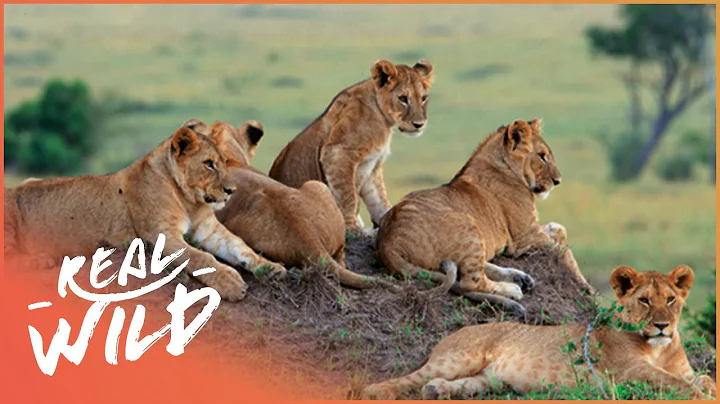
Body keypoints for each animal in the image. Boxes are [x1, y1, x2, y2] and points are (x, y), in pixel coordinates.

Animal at [5, 124, 288, 302]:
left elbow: (240, 246)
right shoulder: (160, 235)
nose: (231, 190)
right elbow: (200, 257)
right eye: (209, 164)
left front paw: (270, 267)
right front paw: (230, 282)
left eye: (224, 162)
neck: (187, 199)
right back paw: (39, 260)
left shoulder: (208, 227)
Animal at [268, 57, 434, 234]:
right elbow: (348, 196)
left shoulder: (373, 166)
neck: (382, 118)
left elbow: (379, 198)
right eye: (403, 98)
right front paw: (352, 227)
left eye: (423, 98)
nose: (419, 124)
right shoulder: (337, 154)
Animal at [366, 264, 716, 400]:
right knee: (410, 378)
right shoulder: (629, 371)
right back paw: (374, 391)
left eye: (670, 299)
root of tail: (454, 333)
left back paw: (437, 391)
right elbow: (674, 383)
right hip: (457, 358)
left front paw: (707, 388)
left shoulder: (684, 370)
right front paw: (700, 396)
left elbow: (704, 379)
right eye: (644, 300)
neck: (659, 348)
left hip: (487, 380)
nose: (662, 326)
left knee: (456, 384)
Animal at [376, 118, 592, 314]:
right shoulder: (526, 237)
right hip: (468, 225)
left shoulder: (531, 231)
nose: (557, 181)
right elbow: (564, 248)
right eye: (542, 156)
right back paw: (513, 288)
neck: (504, 167)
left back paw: (519, 277)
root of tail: (387, 244)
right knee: (470, 282)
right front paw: (587, 287)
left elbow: (559, 229)